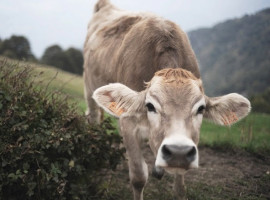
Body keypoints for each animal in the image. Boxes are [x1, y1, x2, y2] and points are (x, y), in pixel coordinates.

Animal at [83, 0, 252, 199]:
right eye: (150, 106)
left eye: (201, 108)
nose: (178, 152)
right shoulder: (128, 122)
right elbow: (138, 177)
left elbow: (180, 189)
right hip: (89, 87)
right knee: (93, 116)